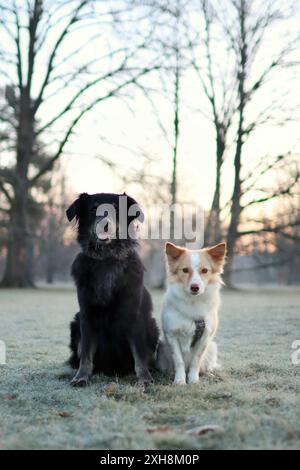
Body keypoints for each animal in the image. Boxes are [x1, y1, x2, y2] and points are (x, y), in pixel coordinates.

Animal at [66, 193, 159, 388]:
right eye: (94, 208)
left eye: (117, 210)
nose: (105, 224)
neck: (107, 259)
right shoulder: (86, 316)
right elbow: (86, 353)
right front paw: (82, 376)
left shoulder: (135, 316)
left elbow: (140, 355)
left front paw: (144, 378)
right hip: (75, 322)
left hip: (153, 326)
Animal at [158, 242, 226, 386]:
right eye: (185, 270)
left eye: (205, 270)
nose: (195, 287)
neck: (193, 301)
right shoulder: (171, 335)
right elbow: (178, 360)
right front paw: (179, 380)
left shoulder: (205, 337)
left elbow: (196, 360)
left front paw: (193, 380)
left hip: (212, 347)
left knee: (206, 366)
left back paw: (210, 374)